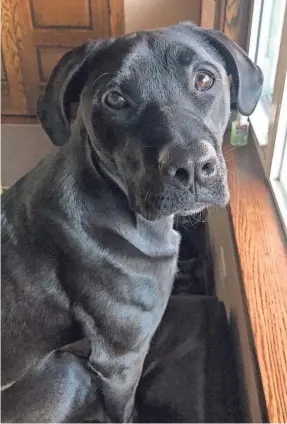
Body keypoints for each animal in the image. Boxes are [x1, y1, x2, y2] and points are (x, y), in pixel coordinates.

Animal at [1, 24, 264, 424]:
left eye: (205, 79)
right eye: (115, 99)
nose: (191, 167)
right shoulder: (121, 361)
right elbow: (125, 409)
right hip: (67, 372)